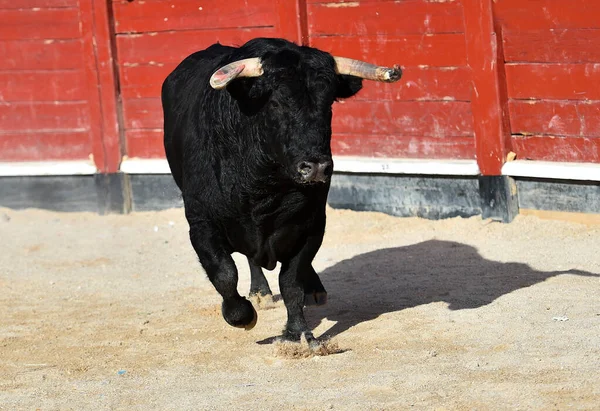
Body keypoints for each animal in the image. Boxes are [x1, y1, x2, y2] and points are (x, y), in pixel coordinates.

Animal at [162, 38, 400, 348]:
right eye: (276, 102)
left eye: (328, 104)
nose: (316, 167)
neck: (264, 186)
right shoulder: (201, 224)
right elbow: (224, 273)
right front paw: (242, 316)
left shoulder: (311, 225)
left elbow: (291, 281)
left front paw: (299, 333)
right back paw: (260, 294)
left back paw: (313, 289)